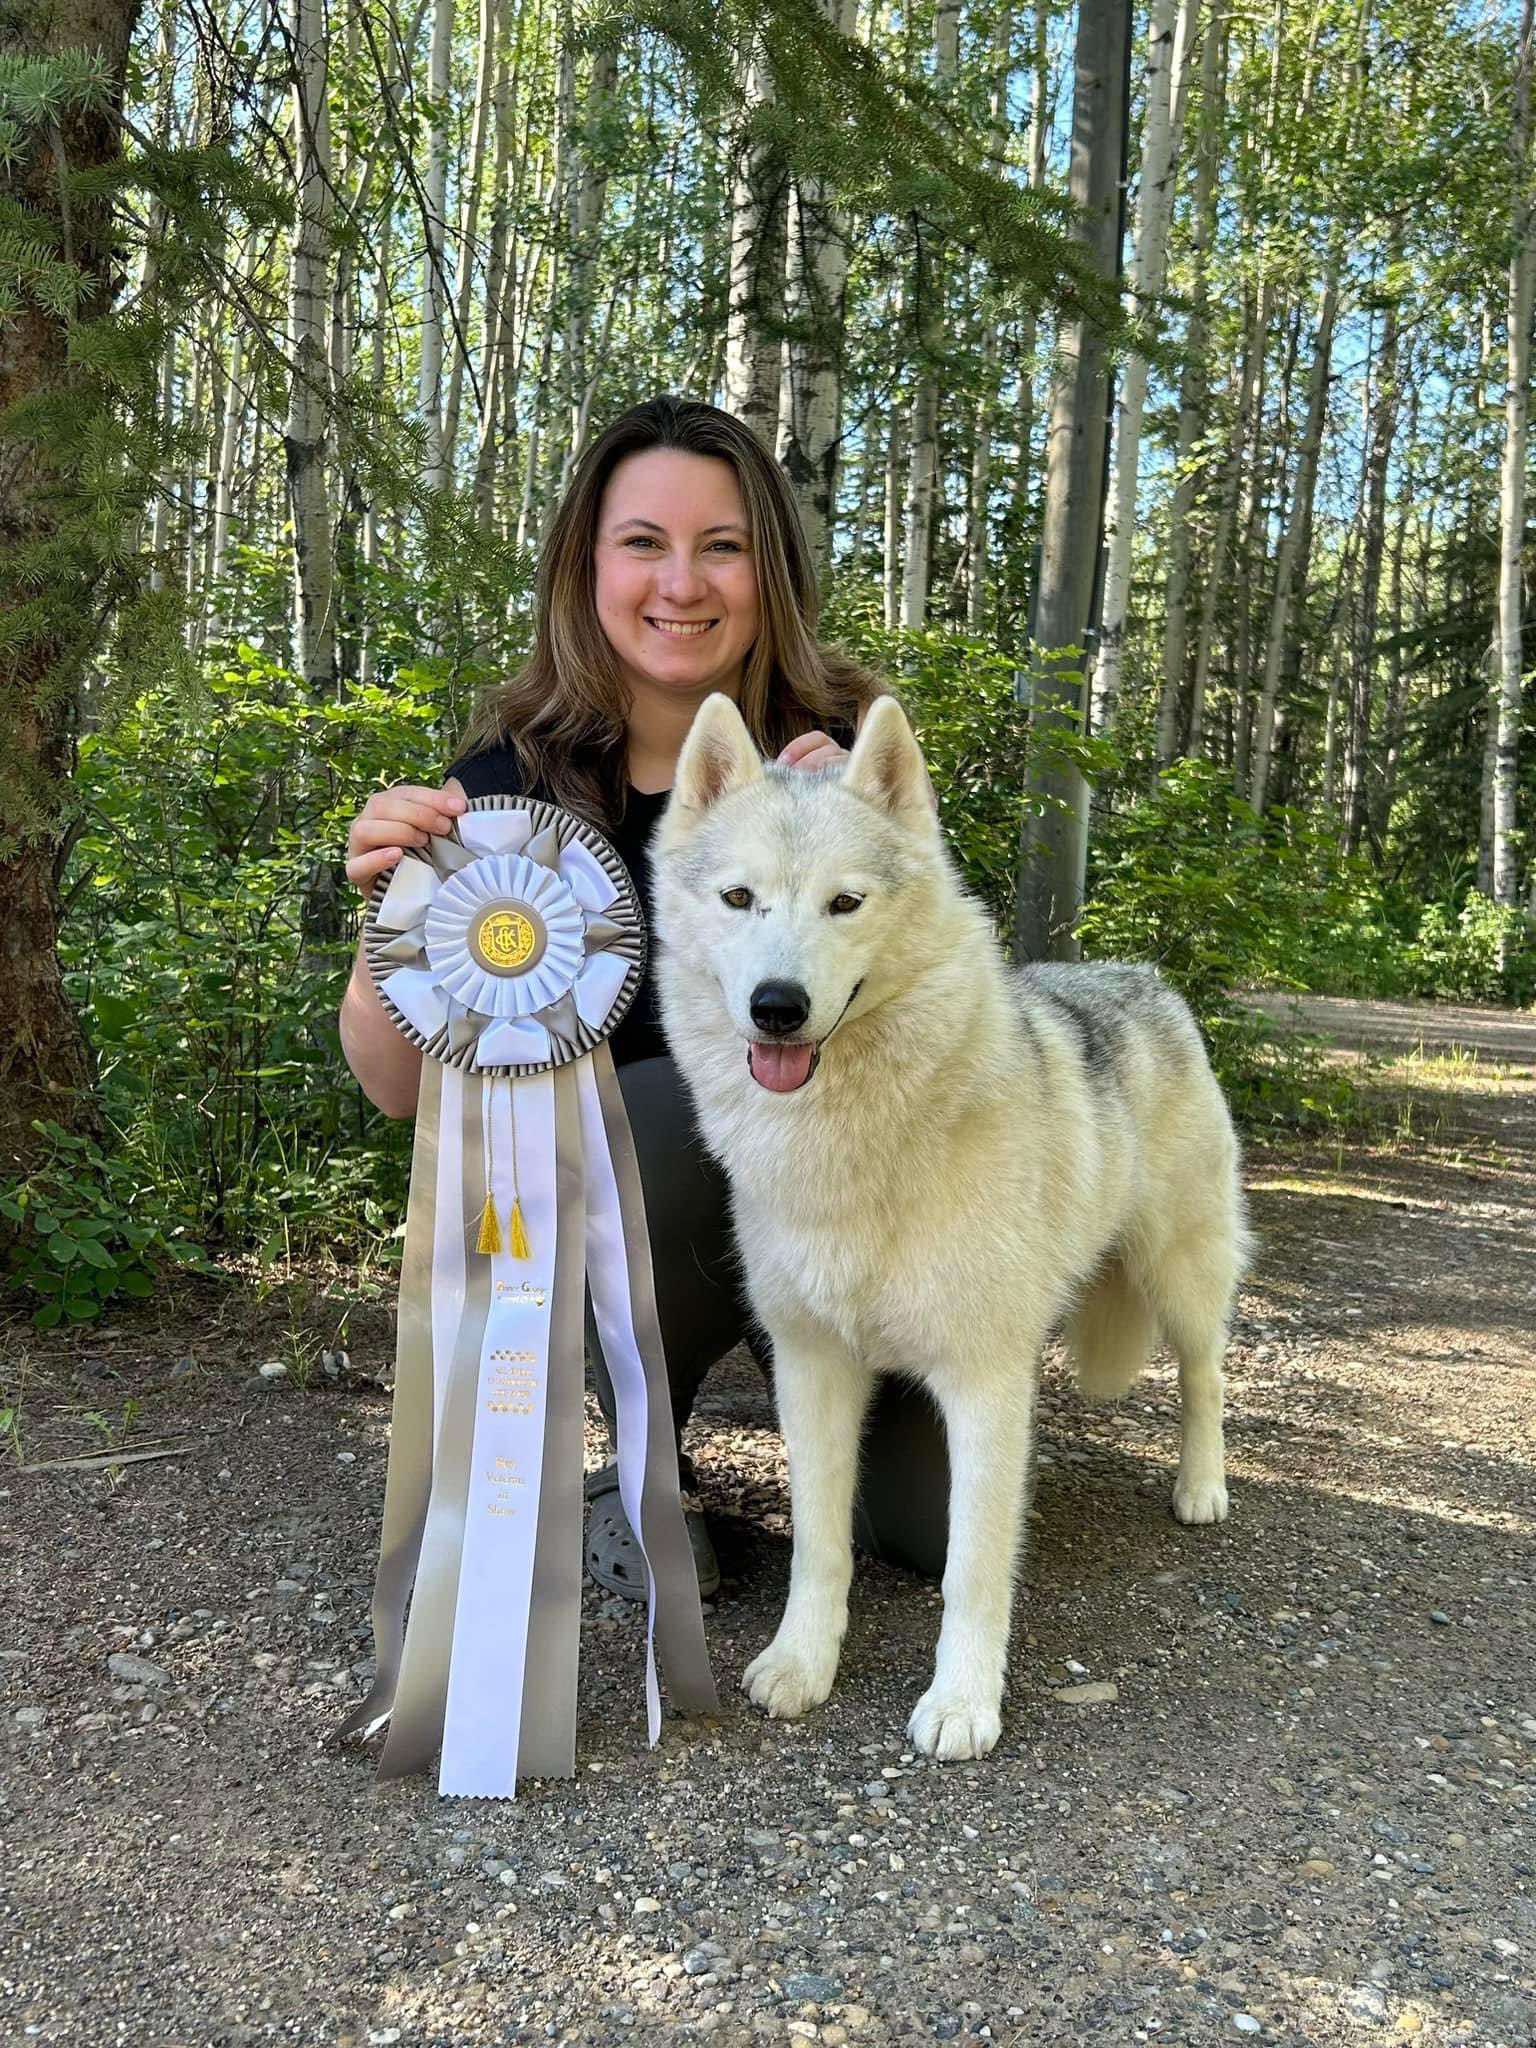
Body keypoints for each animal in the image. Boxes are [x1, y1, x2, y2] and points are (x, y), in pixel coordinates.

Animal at [651, 693, 1252, 1760]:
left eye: (845, 905)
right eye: (738, 898)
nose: (777, 1008)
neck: (856, 1147)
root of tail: (1144, 975)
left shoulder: (985, 1383)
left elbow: (972, 1566)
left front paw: (963, 1704)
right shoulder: (812, 1369)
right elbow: (819, 1547)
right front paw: (802, 1665)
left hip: (1180, 1277)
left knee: (1204, 1380)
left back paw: (1200, 1490)